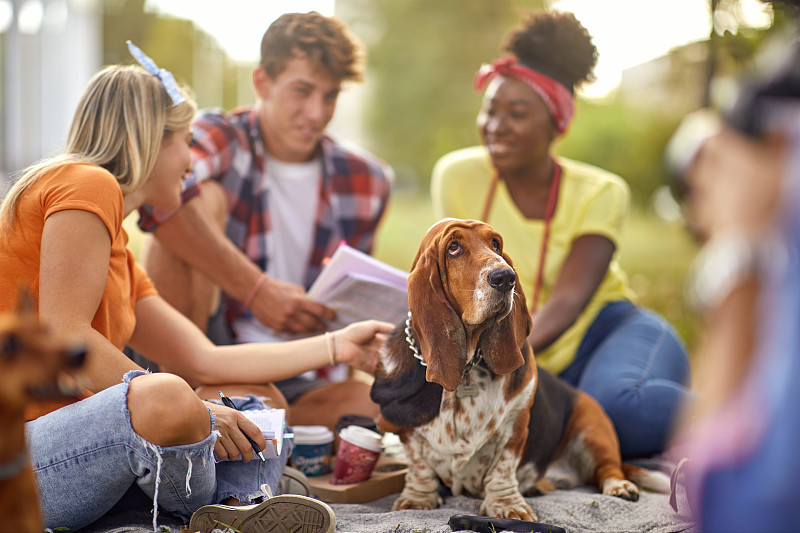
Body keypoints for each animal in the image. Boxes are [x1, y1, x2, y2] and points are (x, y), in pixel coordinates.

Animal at [370, 219, 668, 520]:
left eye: (496, 244)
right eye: (453, 248)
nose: (505, 277)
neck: (468, 369)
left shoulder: (516, 424)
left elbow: (503, 467)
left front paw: (506, 505)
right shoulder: (407, 433)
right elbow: (419, 466)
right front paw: (417, 499)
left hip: (594, 428)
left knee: (608, 468)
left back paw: (620, 486)